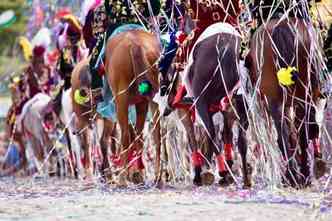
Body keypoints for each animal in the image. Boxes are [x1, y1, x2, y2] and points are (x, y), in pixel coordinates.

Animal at [104, 28, 161, 185]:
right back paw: (155, 176)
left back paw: (122, 178)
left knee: (125, 136)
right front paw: (137, 173)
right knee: (155, 134)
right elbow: (138, 134)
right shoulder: (142, 103)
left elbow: (129, 133)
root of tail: (135, 44)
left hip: (121, 99)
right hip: (151, 98)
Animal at [248, 17, 322, 186]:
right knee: (300, 133)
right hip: (302, 97)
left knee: (285, 134)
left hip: (276, 101)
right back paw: (302, 176)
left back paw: (292, 176)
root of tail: (282, 26)